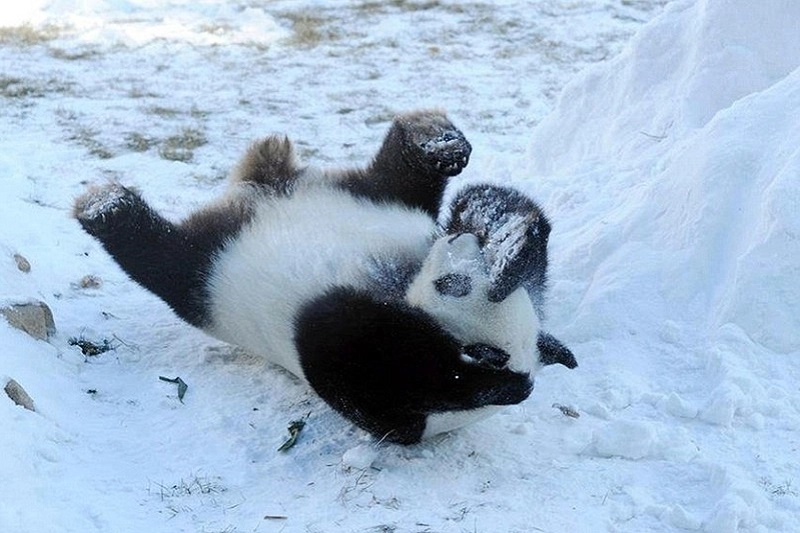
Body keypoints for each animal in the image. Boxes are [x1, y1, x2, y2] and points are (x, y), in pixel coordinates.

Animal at [74, 110, 576, 445]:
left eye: (453, 285)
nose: (458, 240)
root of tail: (267, 189)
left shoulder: (389, 399)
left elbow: (335, 330)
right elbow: (528, 258)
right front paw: (500, 233)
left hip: (213, 274)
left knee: (161, 260)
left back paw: (106, 207)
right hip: (375, 196)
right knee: (408, 174)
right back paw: (438, 142)